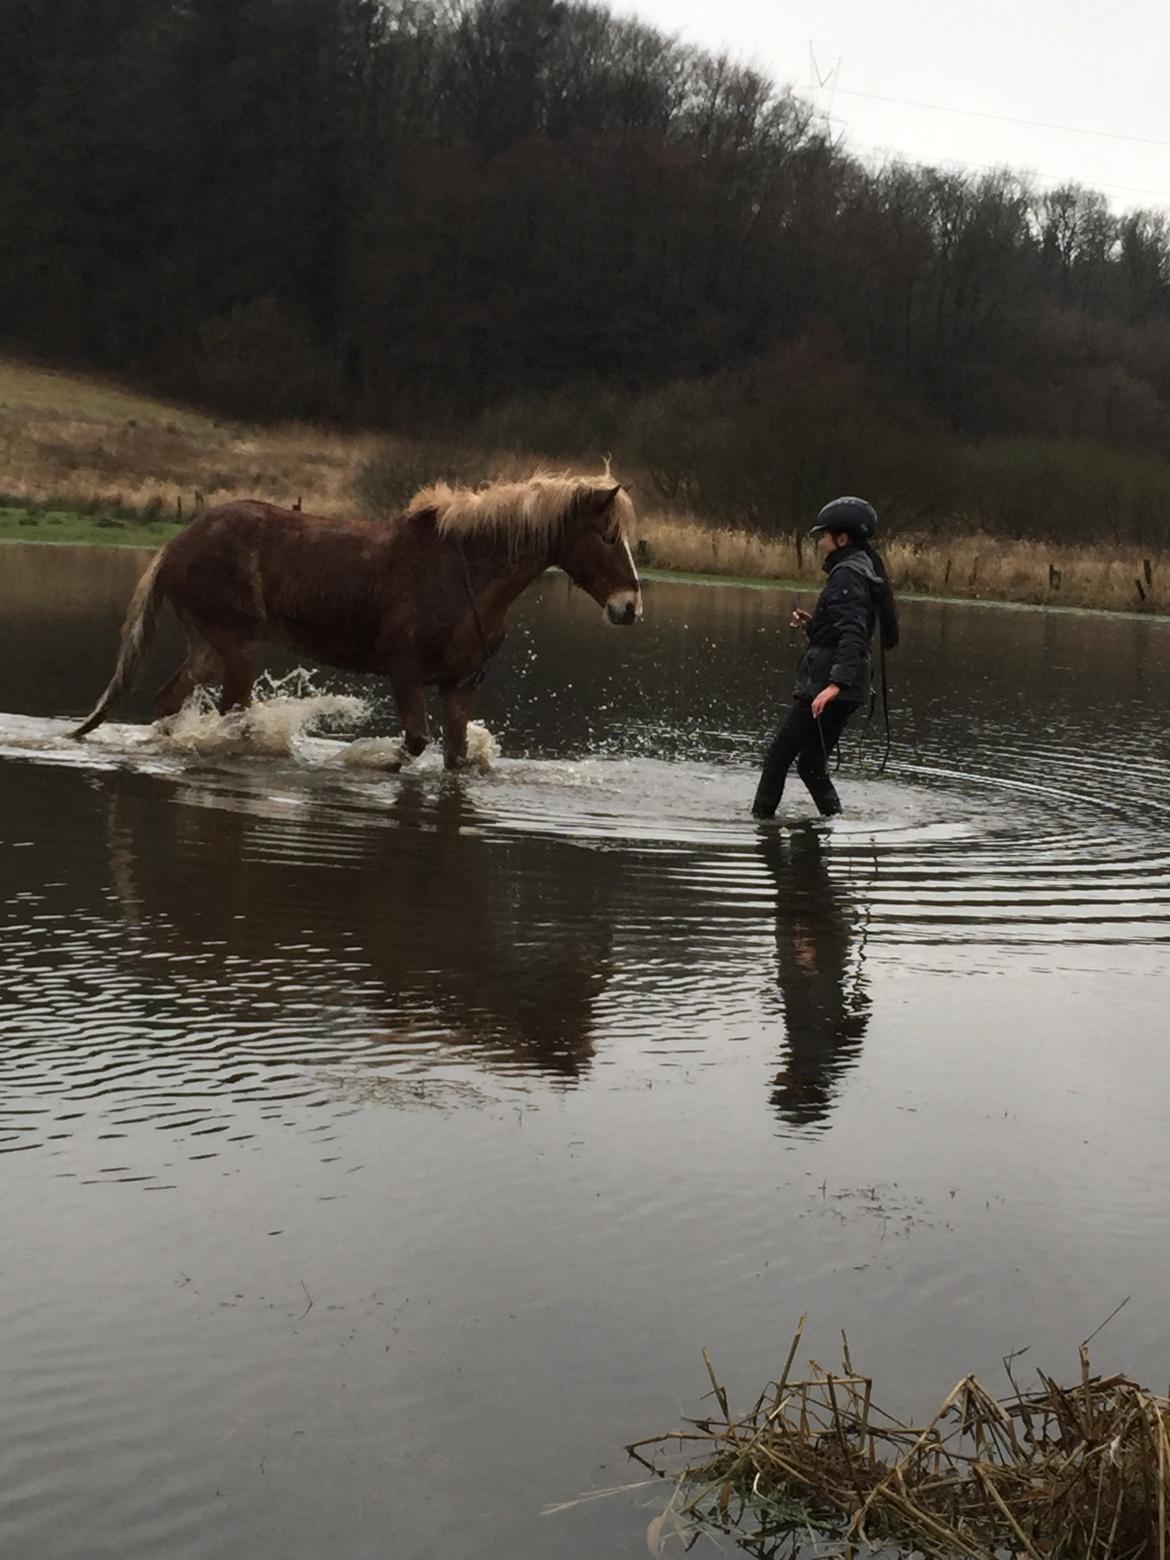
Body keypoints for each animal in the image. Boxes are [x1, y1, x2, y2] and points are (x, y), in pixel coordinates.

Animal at [70, 471, 642, 770]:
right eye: (608, 536)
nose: (629, 607)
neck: (464, 577)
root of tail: (177, 544)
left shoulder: (459, 686)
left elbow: (454, 756)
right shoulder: (405, 674)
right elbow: (413, 744)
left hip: (209, 647)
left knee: (171, 700)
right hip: (239, 646)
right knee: (233, 715)